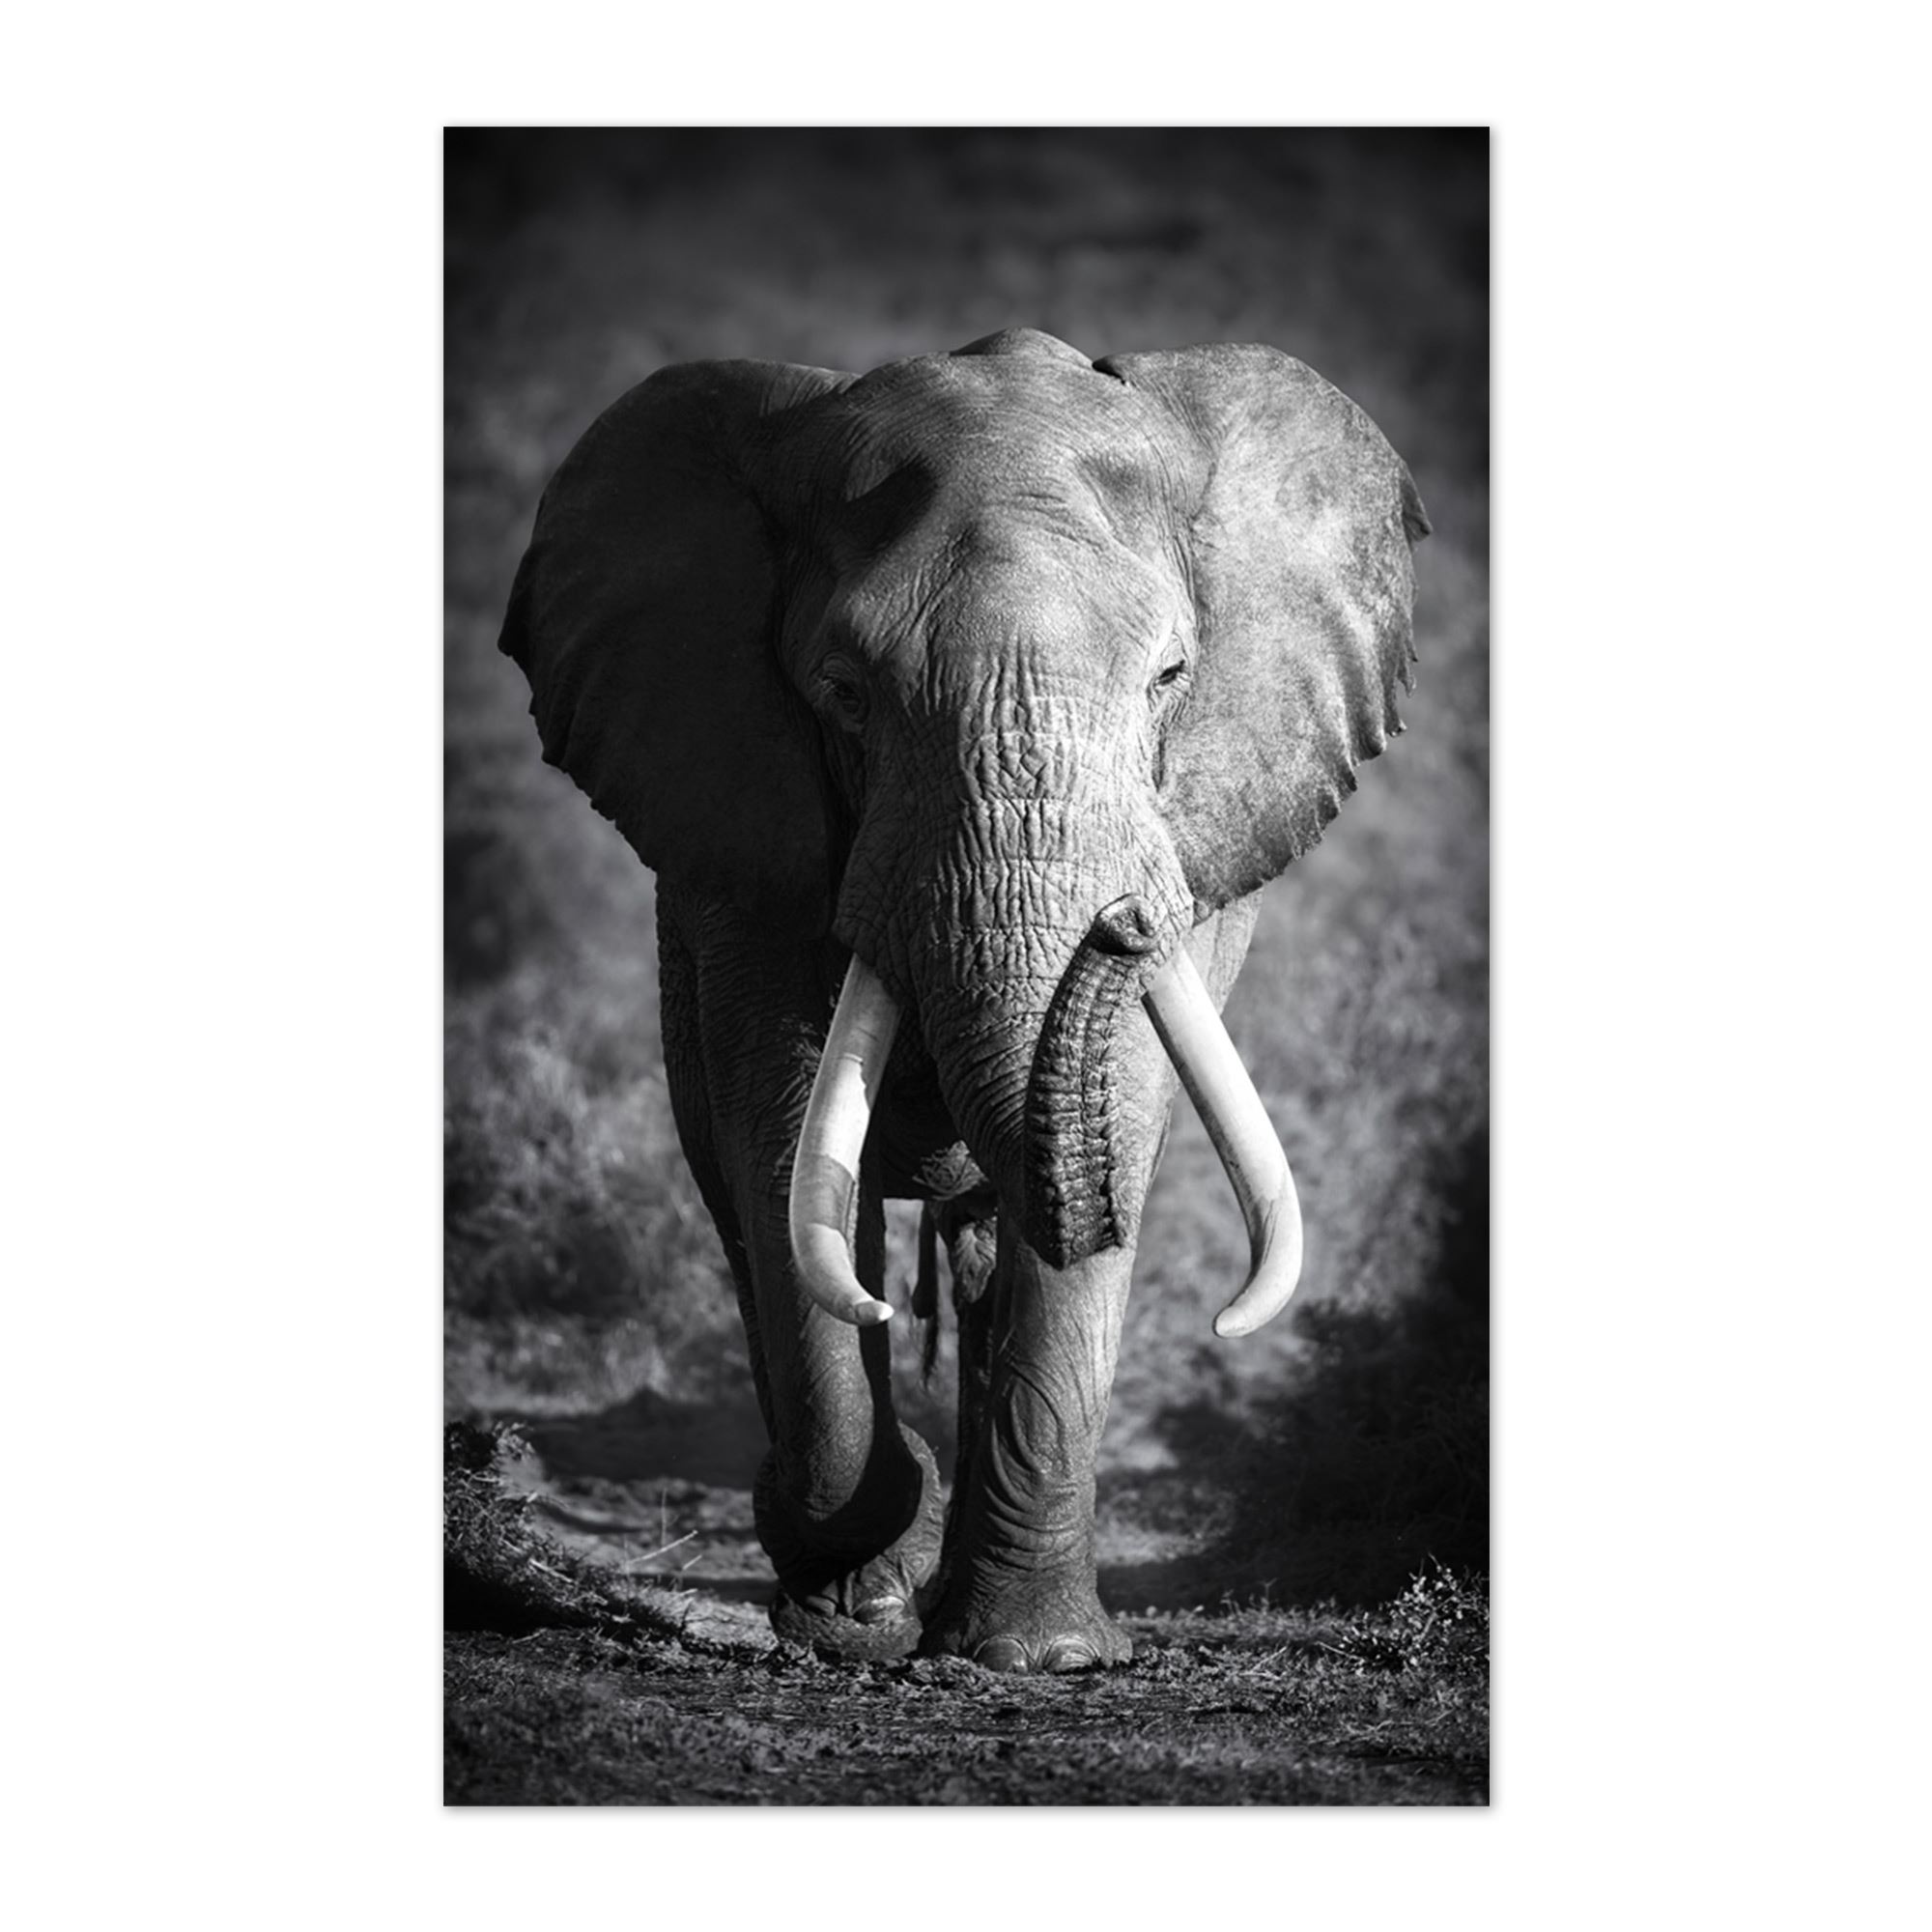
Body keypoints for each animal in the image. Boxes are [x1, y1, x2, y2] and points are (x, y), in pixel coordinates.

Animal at [499, 326, 1428, 1672]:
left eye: (1170, 677)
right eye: (843, 692)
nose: (1122, 922)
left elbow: (1119, 1116)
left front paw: (1037, 1656)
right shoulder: (741, 836)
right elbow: (779, 1136)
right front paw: (853, 1606)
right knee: (742, 1204)